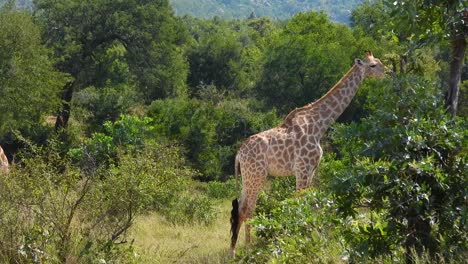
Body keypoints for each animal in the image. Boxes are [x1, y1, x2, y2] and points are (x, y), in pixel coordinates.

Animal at [229, 50, 386, 255]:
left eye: (379, 61)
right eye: (373, 65)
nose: (388, 72)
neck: (319, 125)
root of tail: (239, 154)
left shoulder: (311, 169)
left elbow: (310, 204)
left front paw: (309, 237)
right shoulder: (302, 168)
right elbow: (299, 203)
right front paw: (295, 240)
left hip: (247, 177)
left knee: (240, 209)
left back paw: (233, 251)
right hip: (257, 175)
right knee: (248, 209)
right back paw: (248, 250)